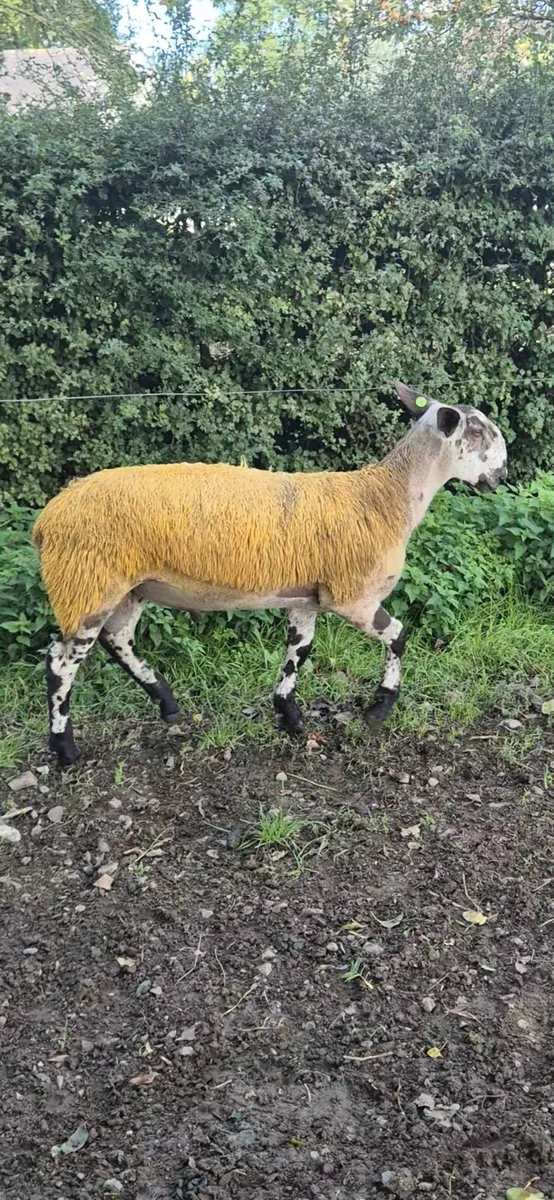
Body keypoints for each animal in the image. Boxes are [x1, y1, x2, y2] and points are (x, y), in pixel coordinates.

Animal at [32, 382, 507, 766]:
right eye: (477, 432)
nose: (501, 475)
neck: (383, 499)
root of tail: (47, 520)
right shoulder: (352, 596)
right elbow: (399, 637)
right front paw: (379, 708)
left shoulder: (306, 598)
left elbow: (299, 652)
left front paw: (289, 714)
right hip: (86, 584)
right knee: (61, 664)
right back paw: (66, 749)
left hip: (128, 587)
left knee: (118, 641)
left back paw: (166, 702)